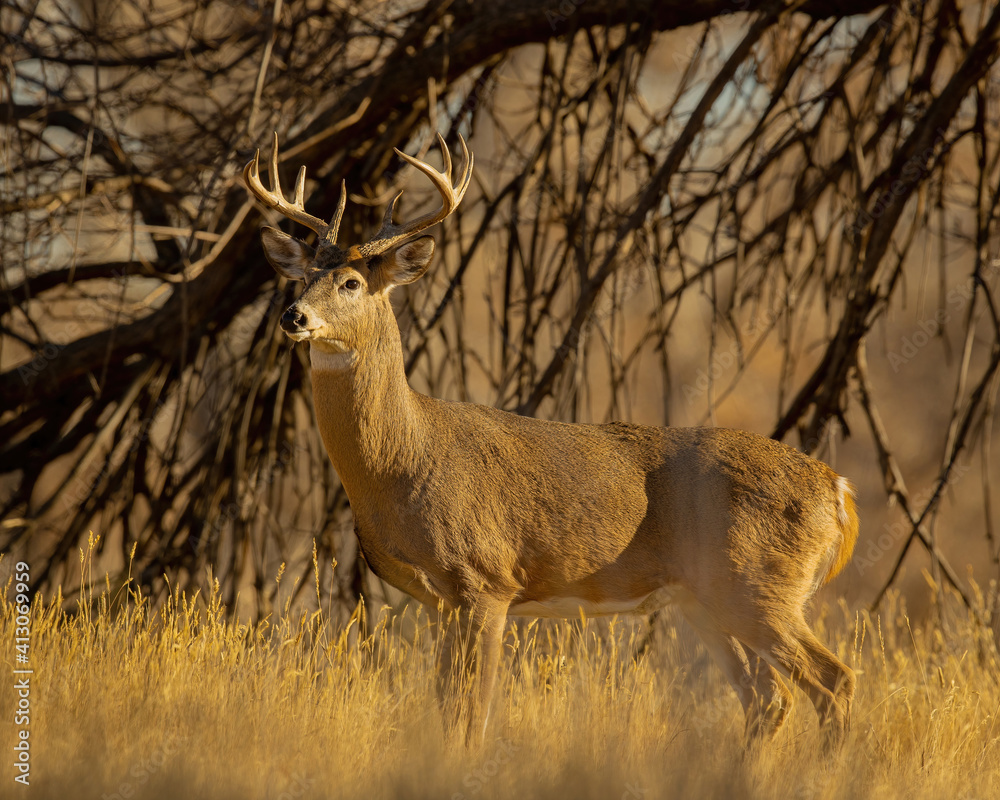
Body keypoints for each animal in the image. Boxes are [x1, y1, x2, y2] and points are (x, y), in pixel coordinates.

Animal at [243, 132, 859, 750]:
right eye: (302, 276)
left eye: (351, 282)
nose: (294, 316)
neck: (404, 461)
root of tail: (838, 490)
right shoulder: (439, 601)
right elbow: (447, 707)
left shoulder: (485, 580)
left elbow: (474, 714)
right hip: (707, 598)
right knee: (768, 695)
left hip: (757, 583)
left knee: (833, 679)